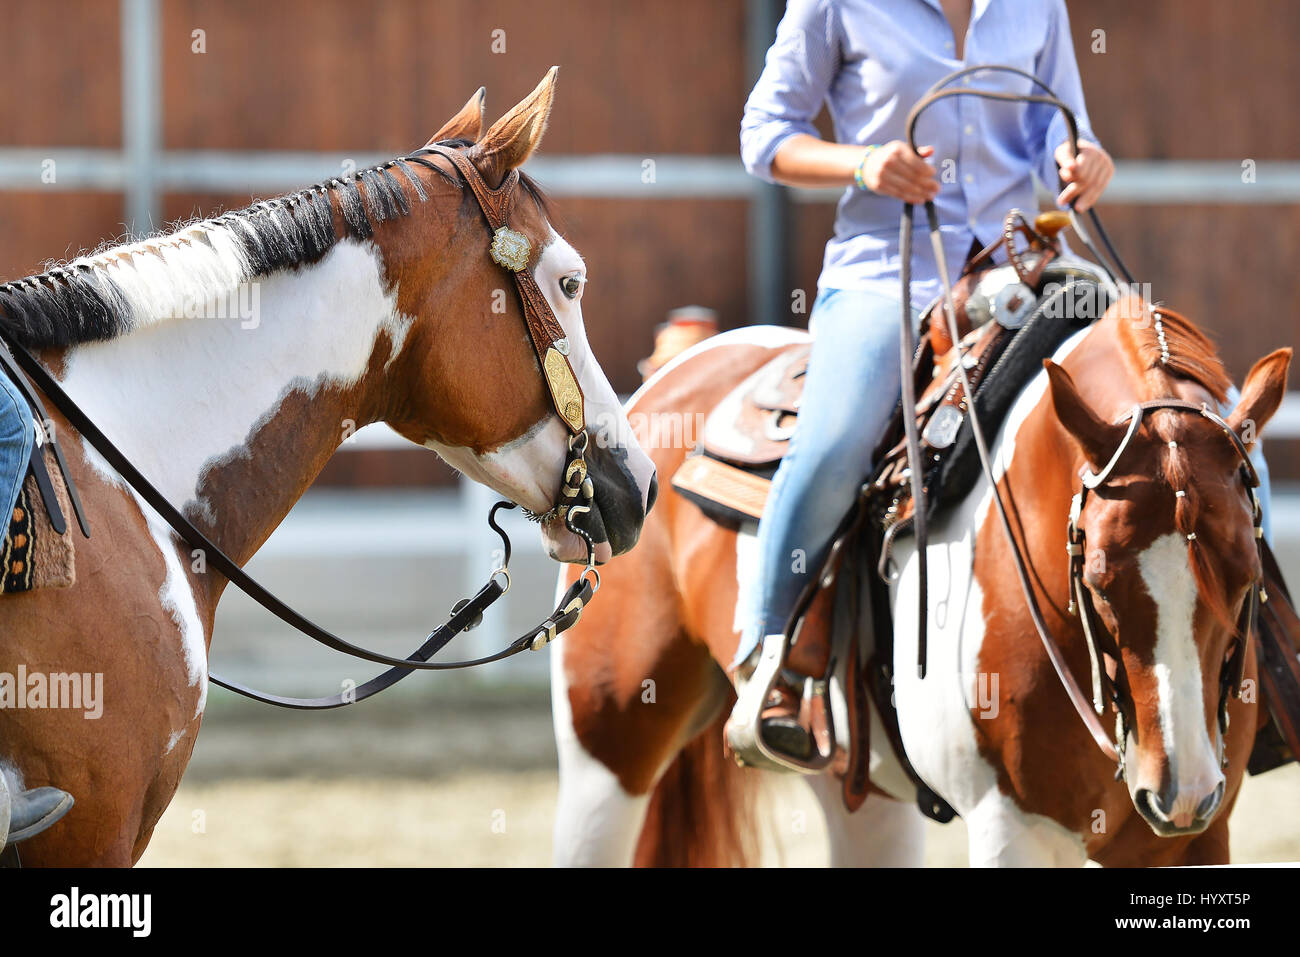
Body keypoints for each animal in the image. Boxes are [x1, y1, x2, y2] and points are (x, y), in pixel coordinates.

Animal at [551, 297, 1290, 867]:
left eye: (1246, 575)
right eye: (1102, 580)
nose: (1180, 788)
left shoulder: (1191, 839)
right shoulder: (1010, 827)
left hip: (855, 787)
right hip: (606, 752)